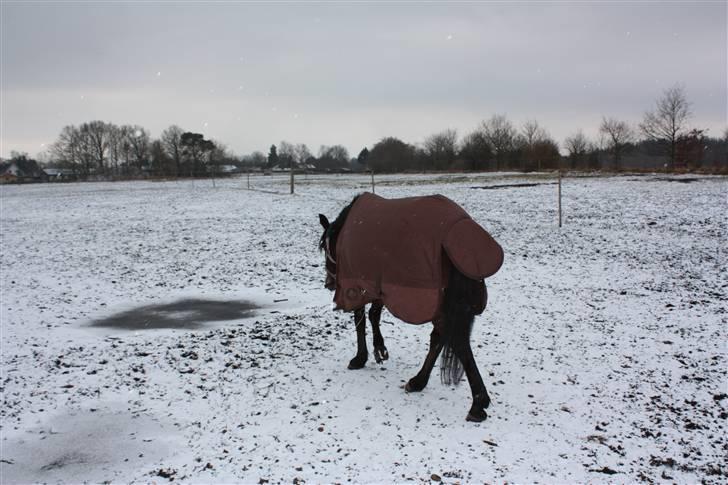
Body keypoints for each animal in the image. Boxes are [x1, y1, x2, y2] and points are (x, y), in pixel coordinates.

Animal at [316, 193, 504, 420]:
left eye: (326, 249)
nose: (328, 284)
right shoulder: (381, 284)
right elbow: (374, 315)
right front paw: (380, 350)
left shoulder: (358, 284)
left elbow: (360, 320)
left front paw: (360, 358)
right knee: (440, 338)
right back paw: (419, 382)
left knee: (455, 342)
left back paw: (477, 403)